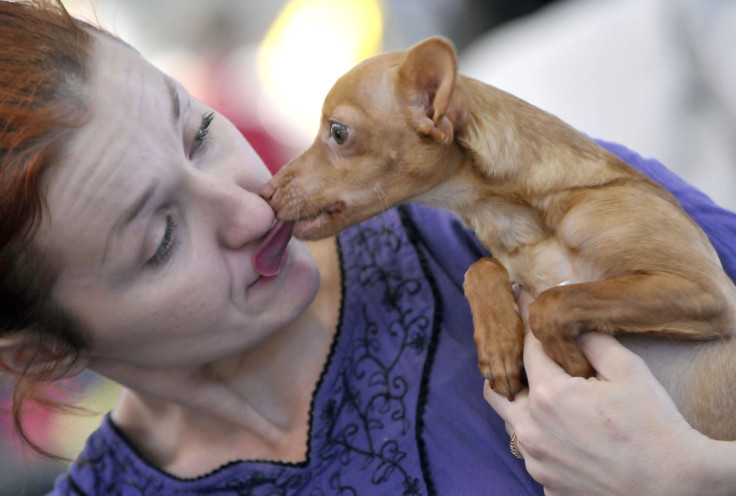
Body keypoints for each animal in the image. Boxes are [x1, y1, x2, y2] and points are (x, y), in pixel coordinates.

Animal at [260, 36, 736, 440]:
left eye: (338, 132)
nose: (266, 192)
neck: (519, 221)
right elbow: (483, 267)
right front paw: (500, 343)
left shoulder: (708, 292)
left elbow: (552, 302)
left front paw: (577, 368)